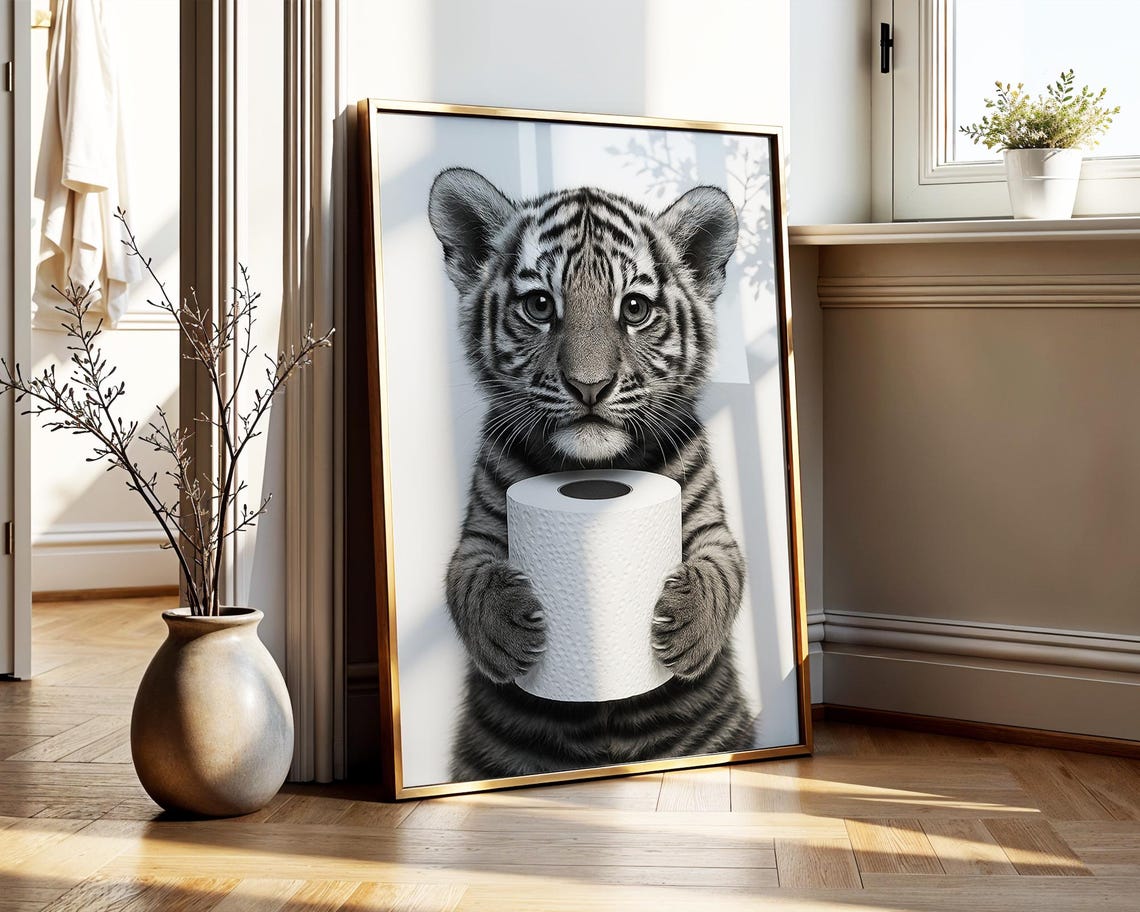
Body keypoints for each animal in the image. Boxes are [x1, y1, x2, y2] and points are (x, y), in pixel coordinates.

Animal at [428, 167, 755, 781]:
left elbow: (722, 571)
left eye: (634, 308)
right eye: (539, 305)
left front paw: (687, 628)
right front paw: (508, 631)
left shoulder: (708, 520)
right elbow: (468, 579)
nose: (589, 387)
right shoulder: (482, 527)